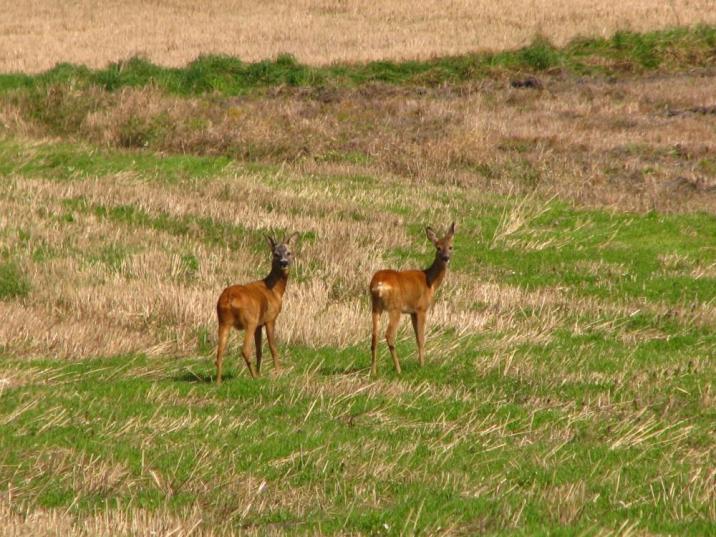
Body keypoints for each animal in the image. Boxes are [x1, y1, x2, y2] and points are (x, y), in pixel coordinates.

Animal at [215, 230, 300, 382]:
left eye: (289, 252)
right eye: (275, 253)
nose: (284, 263)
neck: (274, 290)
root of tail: (229, 298)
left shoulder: (260, 324)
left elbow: (259, 349)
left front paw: (261, 373)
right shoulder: (270, 318)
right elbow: (272, 347)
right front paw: (278, 372)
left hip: (223, 321)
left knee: (219, 353)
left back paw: (218, 382)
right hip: (250, 320)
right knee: (245, 350)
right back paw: (254, 377)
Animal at [370, 220, 454, 374]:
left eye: (451, 247)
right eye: (438, 248)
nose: (446, 258)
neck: (430, 282)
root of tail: (378, 284)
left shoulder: (412, 312)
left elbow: (416, 337)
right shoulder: (421, 308)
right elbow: (421, 338)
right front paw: (422, 365)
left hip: (375, 306)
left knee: (374, 336)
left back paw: (373, 371)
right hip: (395, 308)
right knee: (389, 335)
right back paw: (398, 369)